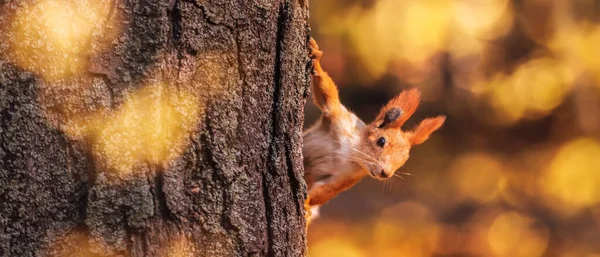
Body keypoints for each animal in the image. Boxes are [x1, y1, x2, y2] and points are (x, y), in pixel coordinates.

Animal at [304, 38, 446, 224]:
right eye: (381, 141)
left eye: (405, 159)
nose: (386, 173)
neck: (351, 151)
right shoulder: (339, 118)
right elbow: (327, 95)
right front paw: (316, 57)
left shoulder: (347, 177)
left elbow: (324, 191)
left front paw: (306, 203)